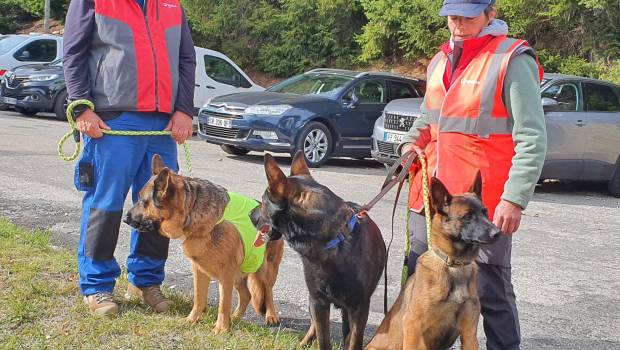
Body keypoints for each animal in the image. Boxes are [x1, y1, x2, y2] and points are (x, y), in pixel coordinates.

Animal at [123, 155, 286, 334]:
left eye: (142, 201)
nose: (124, 219)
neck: (192, 208)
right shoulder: (200, 269)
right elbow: (199, 298)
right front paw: (192, 320)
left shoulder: (226, 272)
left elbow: (224, 303)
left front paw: (221, 328)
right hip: (239, 273)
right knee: (247, 295)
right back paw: (235, 317)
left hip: (264, 269)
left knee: (268, 291)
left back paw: (271, 316)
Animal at [253, 152, 388, 350]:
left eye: (262, 203)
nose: (250, 215)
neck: (333, 240)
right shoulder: (318, 301)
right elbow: (323, 338)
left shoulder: (360, 306)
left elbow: (354, 340)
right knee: (314, 326)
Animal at [366, 173, 502, 350]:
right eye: (467, 216)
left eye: (485, 212)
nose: (498, 233)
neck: (454, 265)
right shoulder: (413, 326)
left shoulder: (469, 334)